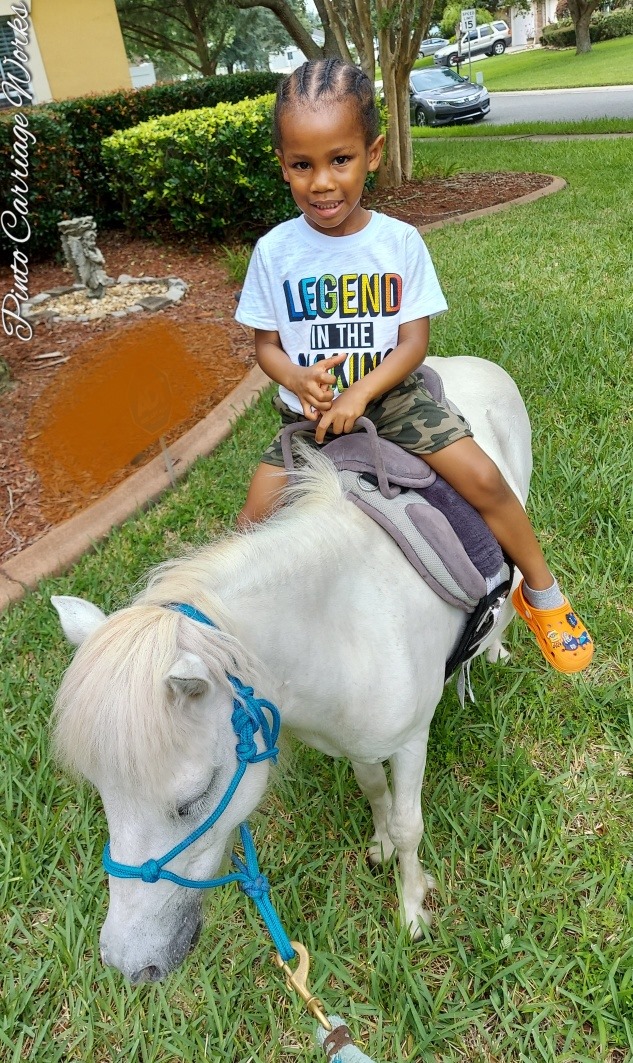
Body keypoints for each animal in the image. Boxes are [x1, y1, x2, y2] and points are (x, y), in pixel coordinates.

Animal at [52, 359, 531, 986]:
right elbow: (373, 789)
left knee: (517, 581)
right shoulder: (355, 741)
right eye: (104, 795)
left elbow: (410, 826)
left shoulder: (410, 741)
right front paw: (379, 845)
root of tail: (476, 363)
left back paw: (501, 644)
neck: (344, 624)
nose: (130, 964)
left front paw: (412, 910)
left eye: (193, 800)